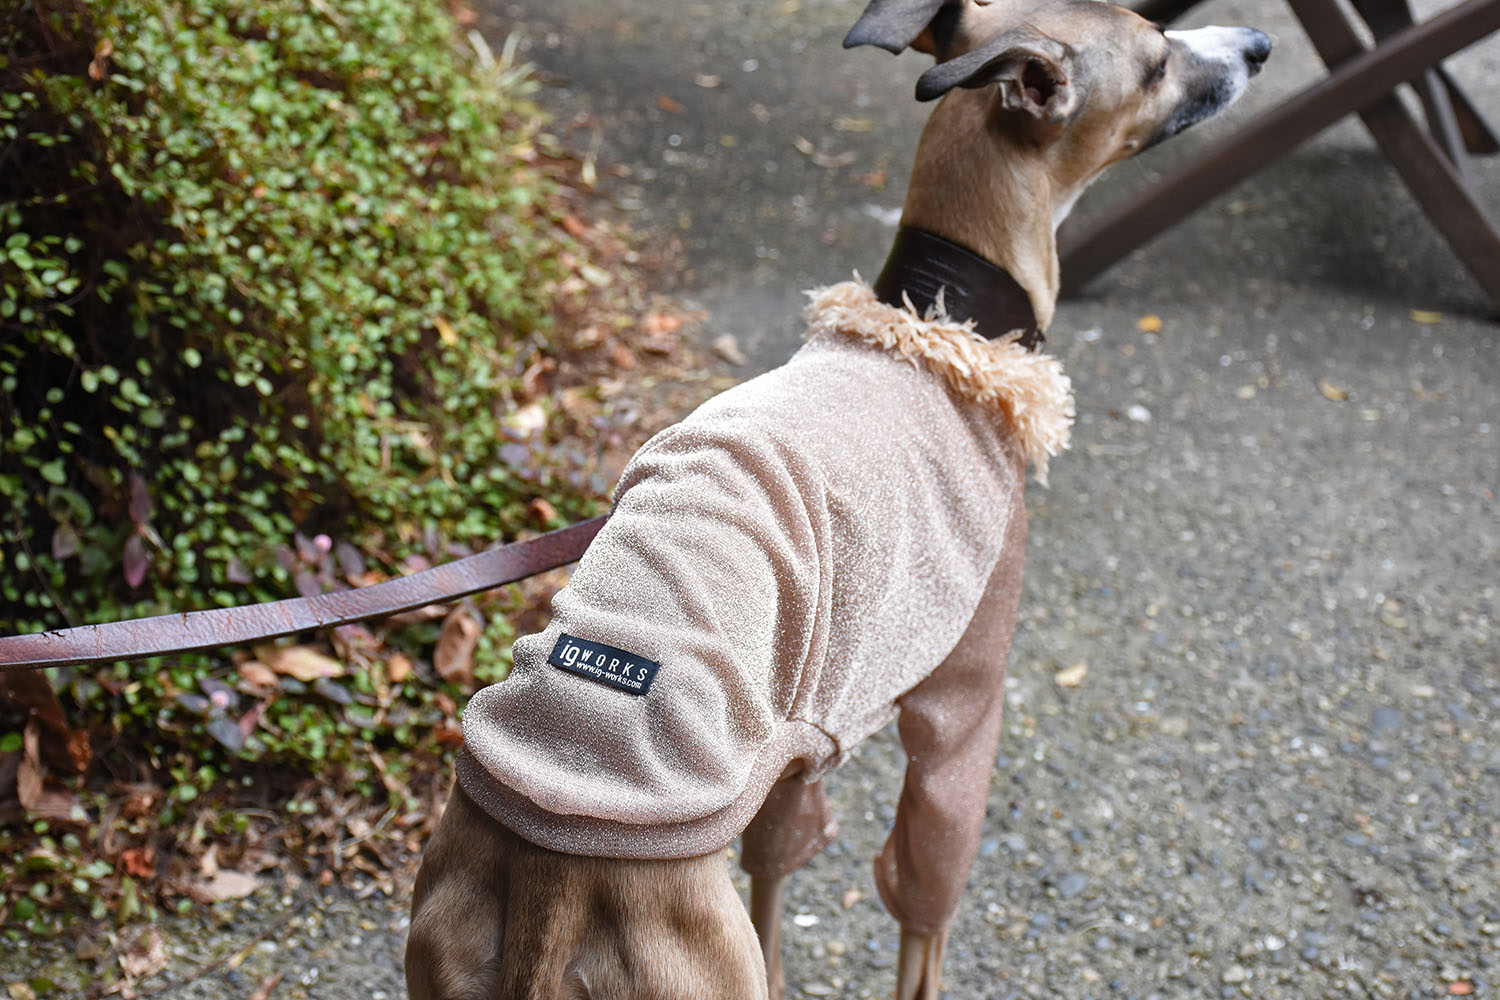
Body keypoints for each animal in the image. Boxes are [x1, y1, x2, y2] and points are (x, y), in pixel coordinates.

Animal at [406, 3, 1269, 998]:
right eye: (1156, 56)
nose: (1259, 46)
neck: (933, 318)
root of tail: (549, 884)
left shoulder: (795, 741)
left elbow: (779, 870)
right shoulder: (961, 700)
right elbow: (923, 910)